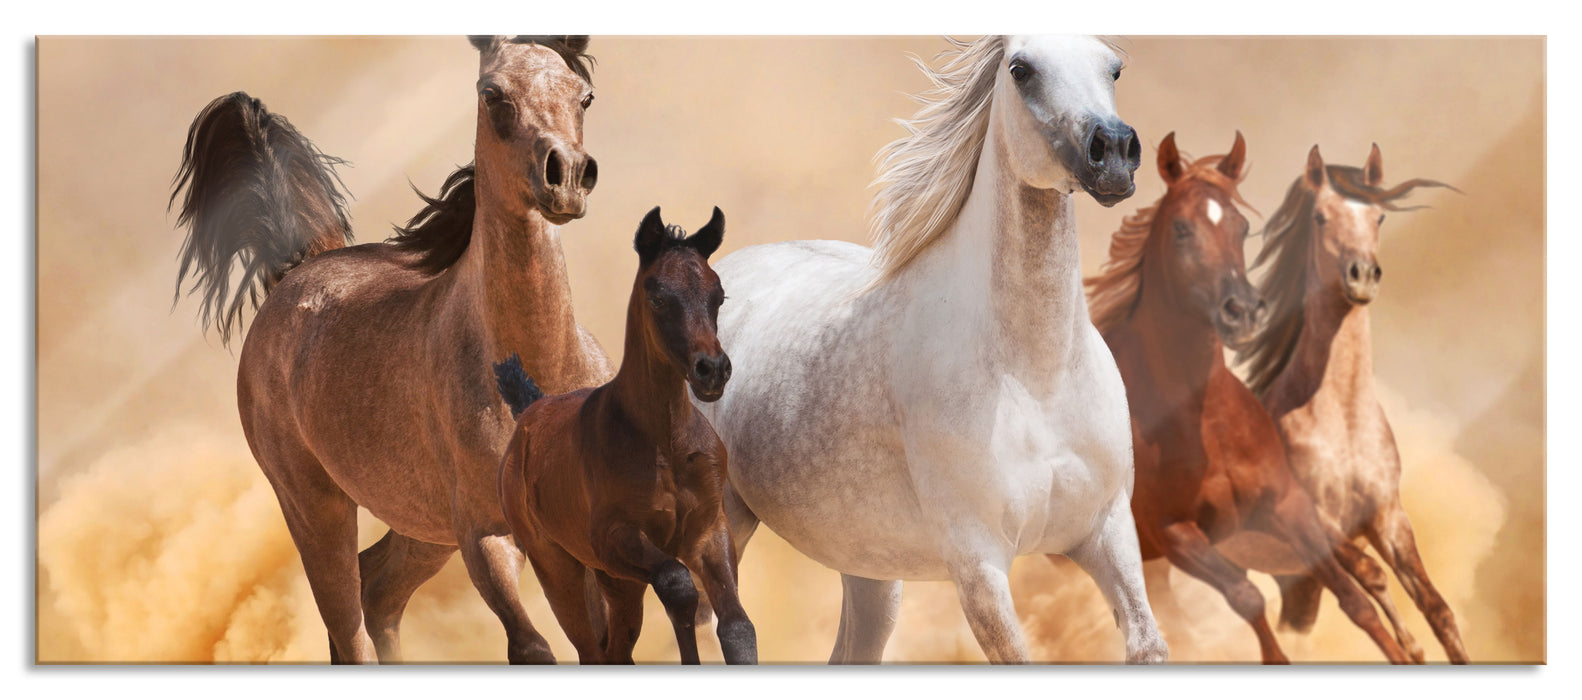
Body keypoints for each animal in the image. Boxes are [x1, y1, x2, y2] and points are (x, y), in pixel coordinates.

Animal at [168, 35, 613, 664]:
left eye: (584, 96)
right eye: (492, 93)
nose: (567, 175)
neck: (539, 374)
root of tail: (295, 272)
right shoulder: (486, 537)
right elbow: (532, 647)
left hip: (421, 528)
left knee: (377, 591)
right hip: (318, 512)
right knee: (348, 621)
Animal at [495, 206, 756, 665]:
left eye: (718, 295)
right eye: (658, 297)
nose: (712, 370)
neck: (665, 442)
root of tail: (530, 408)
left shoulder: (708, 531)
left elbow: (738, 627)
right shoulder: (614, 537)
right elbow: (677, 584)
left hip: (617, 583)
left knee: (615, 649)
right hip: (560, 570)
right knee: (591, 650)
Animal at [693, 35, 1169, 664]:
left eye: (1113, 67)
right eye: (1021, 69)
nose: (1112, 153)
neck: (1034, 378)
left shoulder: (1107, 531)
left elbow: (1148, 643)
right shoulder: (978, 564)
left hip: (868, 569)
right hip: (724, 525)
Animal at [1085, 131, 1418, 664]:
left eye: (1241, 227)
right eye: (1181, 228)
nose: (1241, 311)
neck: (1204, 421)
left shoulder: (1287, 505)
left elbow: (1353, 597)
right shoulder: (1175, 534)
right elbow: (1248, 599)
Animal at [1237, 144, 1467, 663]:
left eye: (1379, 216)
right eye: (1320, 216)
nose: (1362, 276)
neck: (1340, 422)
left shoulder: (1388, 517)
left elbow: (1437, 608)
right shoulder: (1320, 527)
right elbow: (1373, 579)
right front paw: (1410, 649)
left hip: (1292, 578)